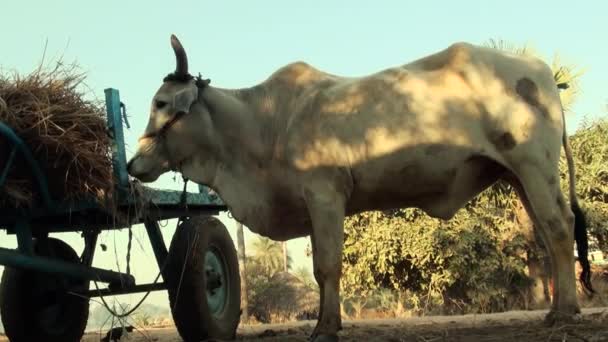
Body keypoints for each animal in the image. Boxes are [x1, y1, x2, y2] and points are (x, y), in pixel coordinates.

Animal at [128, 35, 592, 342]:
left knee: (558, 227)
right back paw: (556, 307)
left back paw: (566, 313)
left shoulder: (326, 195)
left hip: (534, 165)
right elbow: (323, 268)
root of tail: (541, 72)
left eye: (162, 103)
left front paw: (325, 328)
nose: (133, 165)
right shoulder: (314, 204)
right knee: (548, 234)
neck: (264, 125)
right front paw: (326, 321)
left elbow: (327, 267)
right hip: (518, 176)